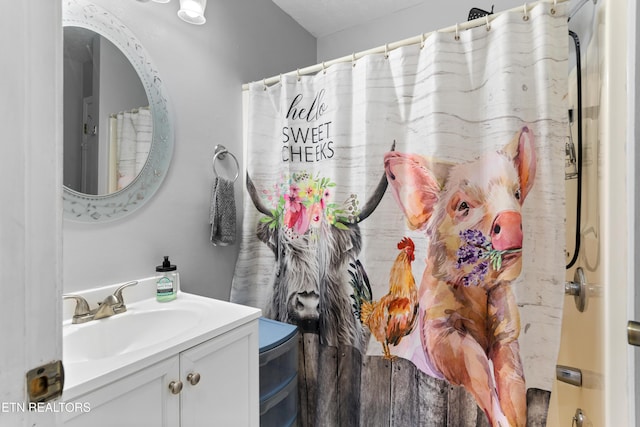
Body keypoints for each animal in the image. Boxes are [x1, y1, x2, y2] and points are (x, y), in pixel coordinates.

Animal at [382, 128, 536, 427]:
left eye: (516, 193)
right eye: (463, 205)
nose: (511, 219)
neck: (477, 293)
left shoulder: (507, 329)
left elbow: (513, 380)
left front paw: (513, 420)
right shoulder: (437, 329)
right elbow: (474, 364)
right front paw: (501, 421)